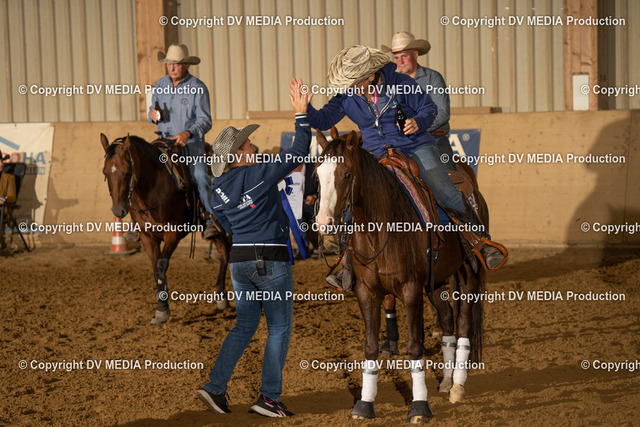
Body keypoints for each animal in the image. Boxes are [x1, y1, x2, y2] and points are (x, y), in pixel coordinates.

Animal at [100, 134, 230, 324]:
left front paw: (162, 310)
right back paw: (221, 295)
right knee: (223, 250)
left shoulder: (173, 232)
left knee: (228, 250)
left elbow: (161, 264)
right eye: (105, 172)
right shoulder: (146, 236)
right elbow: (156, 269)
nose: (118, 210)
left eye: (127, 172)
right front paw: (161, 308)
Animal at [315, 129, 485, 422]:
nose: (323, 222)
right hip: (435, 283)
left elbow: (415, 346)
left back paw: (458, 386)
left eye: (346, 174)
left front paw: (419, 406)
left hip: (467, 274)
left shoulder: (411, 290)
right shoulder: (367, 292)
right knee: (447, 319)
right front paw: (364, 403)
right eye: (317, 173)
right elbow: (370, 346)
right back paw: (446, 381)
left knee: (463, 323)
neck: (380, 230)